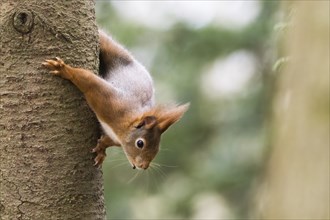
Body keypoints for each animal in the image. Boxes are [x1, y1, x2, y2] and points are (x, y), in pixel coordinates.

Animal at [42, 30, 189, 169]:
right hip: (110, 51)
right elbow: (88, 81)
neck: (121, 128)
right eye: (140, 143)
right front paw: (64, 70)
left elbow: (107, 141)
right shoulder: (110, 102)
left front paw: (102, 148)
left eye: (158, 147)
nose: (143, 166)